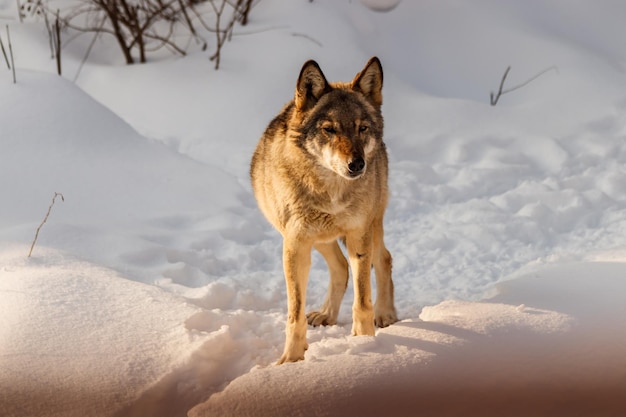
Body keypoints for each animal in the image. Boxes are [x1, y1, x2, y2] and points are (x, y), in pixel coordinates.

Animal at [247, 57, 394, 362]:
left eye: (362, 128)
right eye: (330, 129)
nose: (357, 164)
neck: (331, 192)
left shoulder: (359, 237)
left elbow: (363, 302)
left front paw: (365, 344)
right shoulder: (295, 245)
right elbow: (295, 313)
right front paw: (291, 360)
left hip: (370, 227)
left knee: (384, 259)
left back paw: (386, 314)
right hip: (318, 238)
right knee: (340, 267)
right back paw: (327, 314)